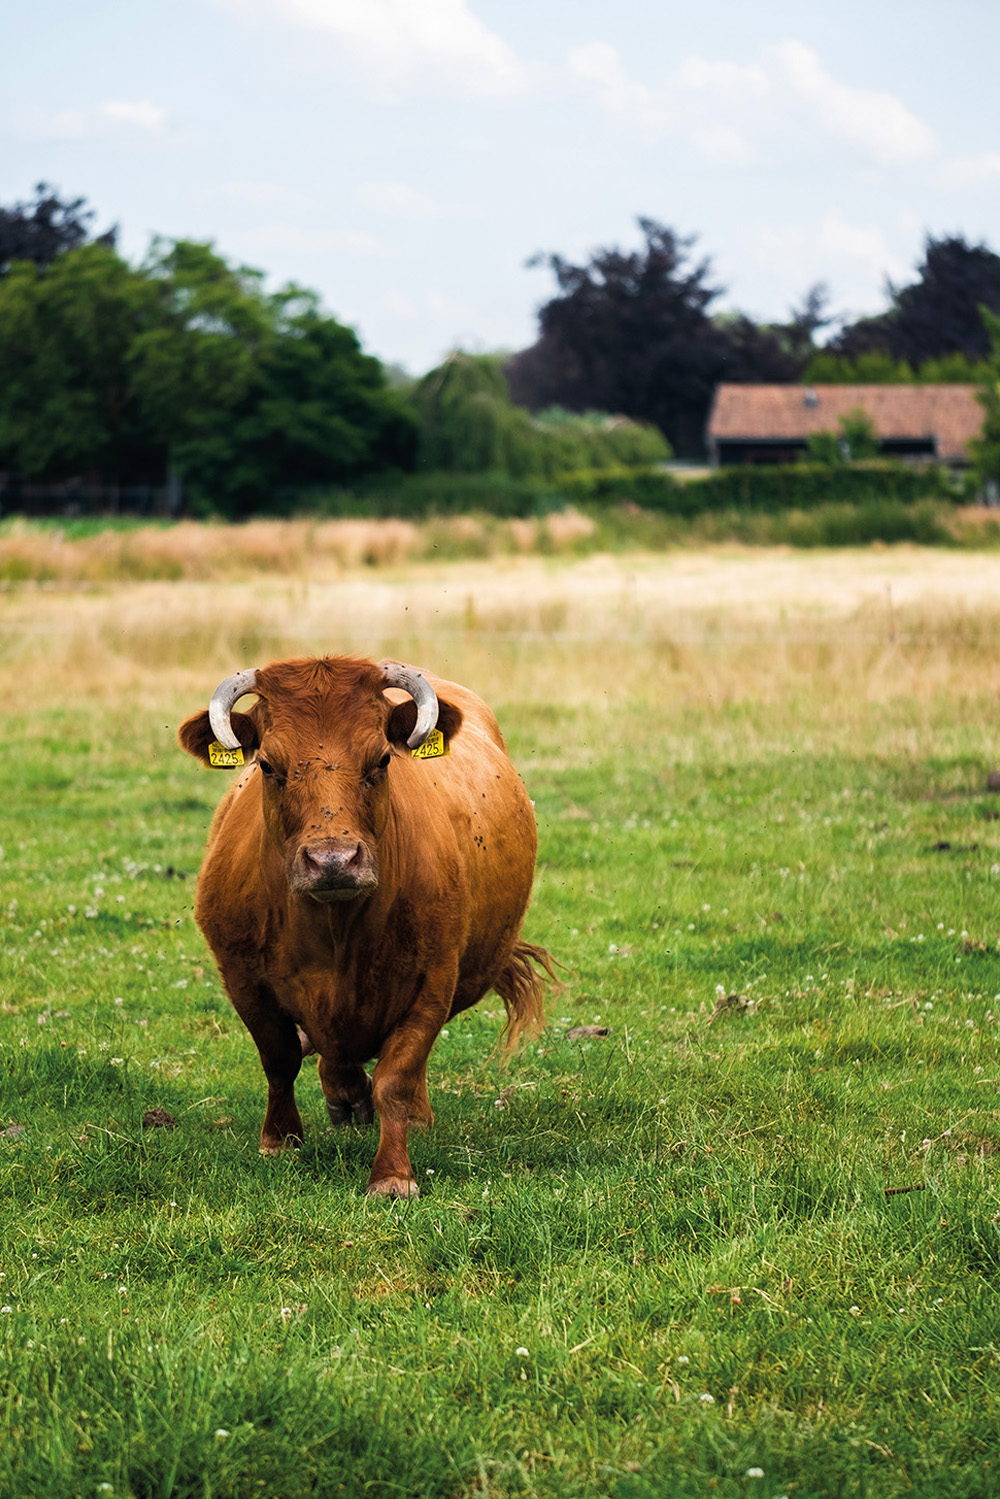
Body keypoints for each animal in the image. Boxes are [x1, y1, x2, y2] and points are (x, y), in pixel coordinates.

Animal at [177, 653, 554, 1193]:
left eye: (381, 760)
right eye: (267, 765)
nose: (332, 860)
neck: (335, 935)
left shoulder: (433, 981)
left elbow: (396, 1077)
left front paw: (393, 1173)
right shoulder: (244, 980)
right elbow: (279, 1058)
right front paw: (280, 1139)